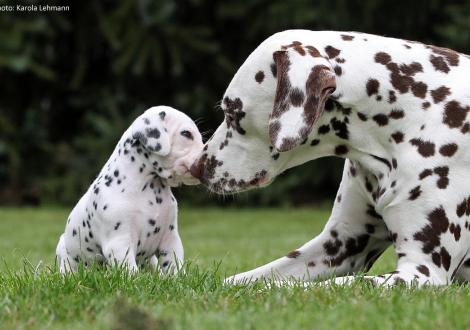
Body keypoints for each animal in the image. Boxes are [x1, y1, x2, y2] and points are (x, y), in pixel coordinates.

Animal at [56, 105, 203, 274]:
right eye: (186, 134)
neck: (148, 187)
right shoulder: (120, 243)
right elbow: (131, 271)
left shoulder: (170, 238)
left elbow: (174, 265)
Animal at [189, 29, 470, 286]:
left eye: (232, 112)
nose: (195, 168)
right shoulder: (339, 245)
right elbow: (241, 279)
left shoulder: (421, 271)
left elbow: (309, 287)